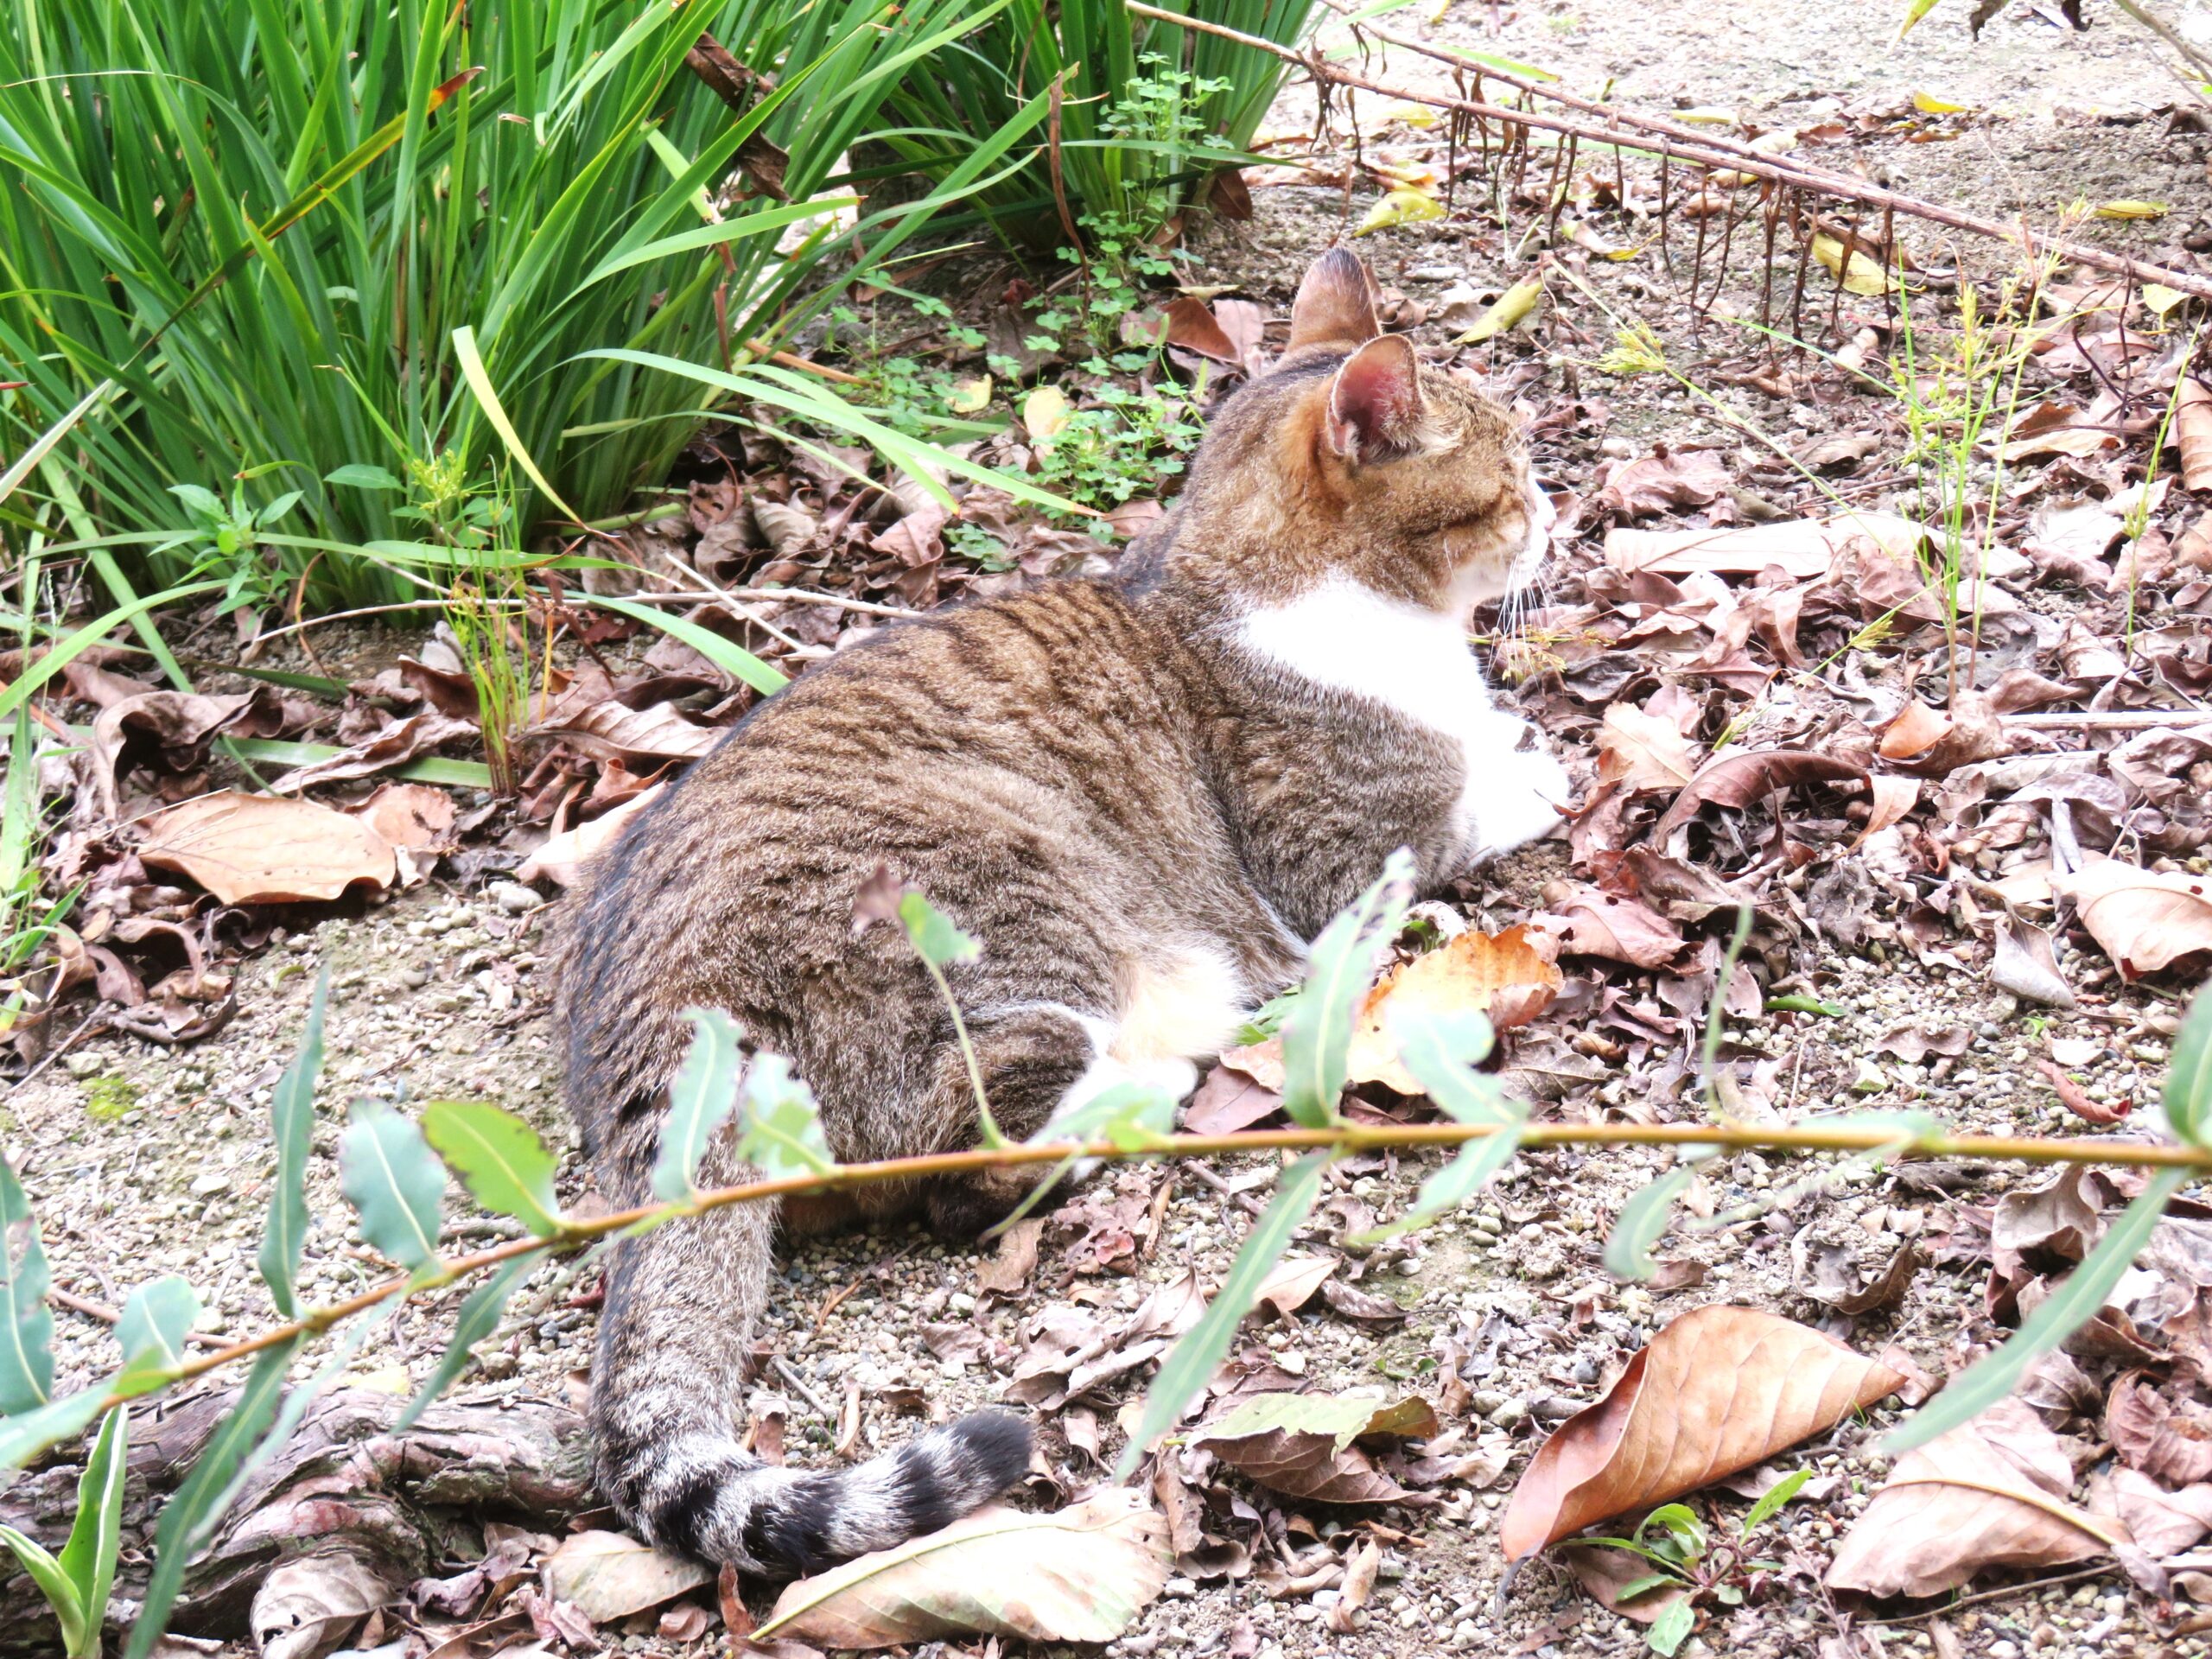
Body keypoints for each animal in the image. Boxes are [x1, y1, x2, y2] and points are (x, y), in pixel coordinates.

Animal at [562, 250, 1566, 1583]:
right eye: (1508, 476)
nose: (1554, 513)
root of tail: (661, 1018)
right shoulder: (1336, 862)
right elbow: (1468, 804)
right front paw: (1532, 769)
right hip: (1019, 910)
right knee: (964, 1164)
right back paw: (1149, 1090)